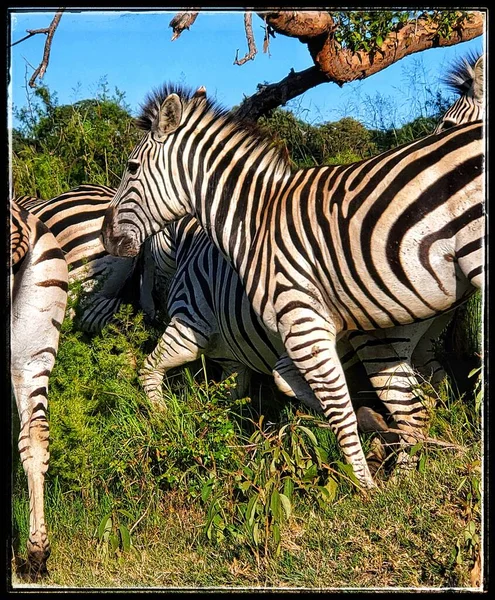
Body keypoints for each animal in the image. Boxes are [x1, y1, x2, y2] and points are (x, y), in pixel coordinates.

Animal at [101, 84, 484, 490]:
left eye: (131, 168)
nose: (107, 238)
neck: (252, 224)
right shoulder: (263, 347)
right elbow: (260, 393)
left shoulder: (276, 324)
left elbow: (336, 408)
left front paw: (365, 489)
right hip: (411, 326)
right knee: (422, 399)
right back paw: (417, 473)